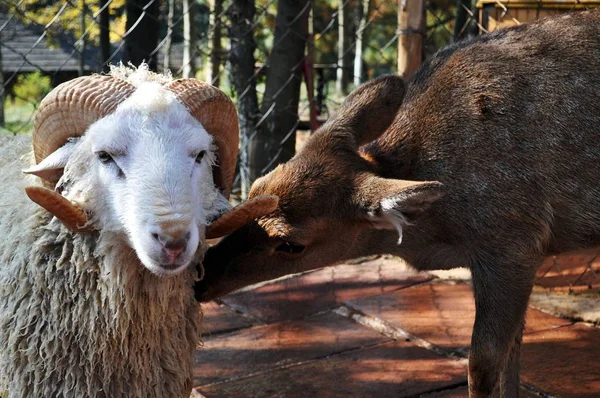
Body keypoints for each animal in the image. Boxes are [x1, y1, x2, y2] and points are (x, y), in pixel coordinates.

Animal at [196, 11, 600, 398]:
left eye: (291, 244)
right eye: (255, 187)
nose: (200, 279)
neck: (438, 236)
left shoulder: (514, 240)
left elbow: (483, 363)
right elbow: (513, 352)